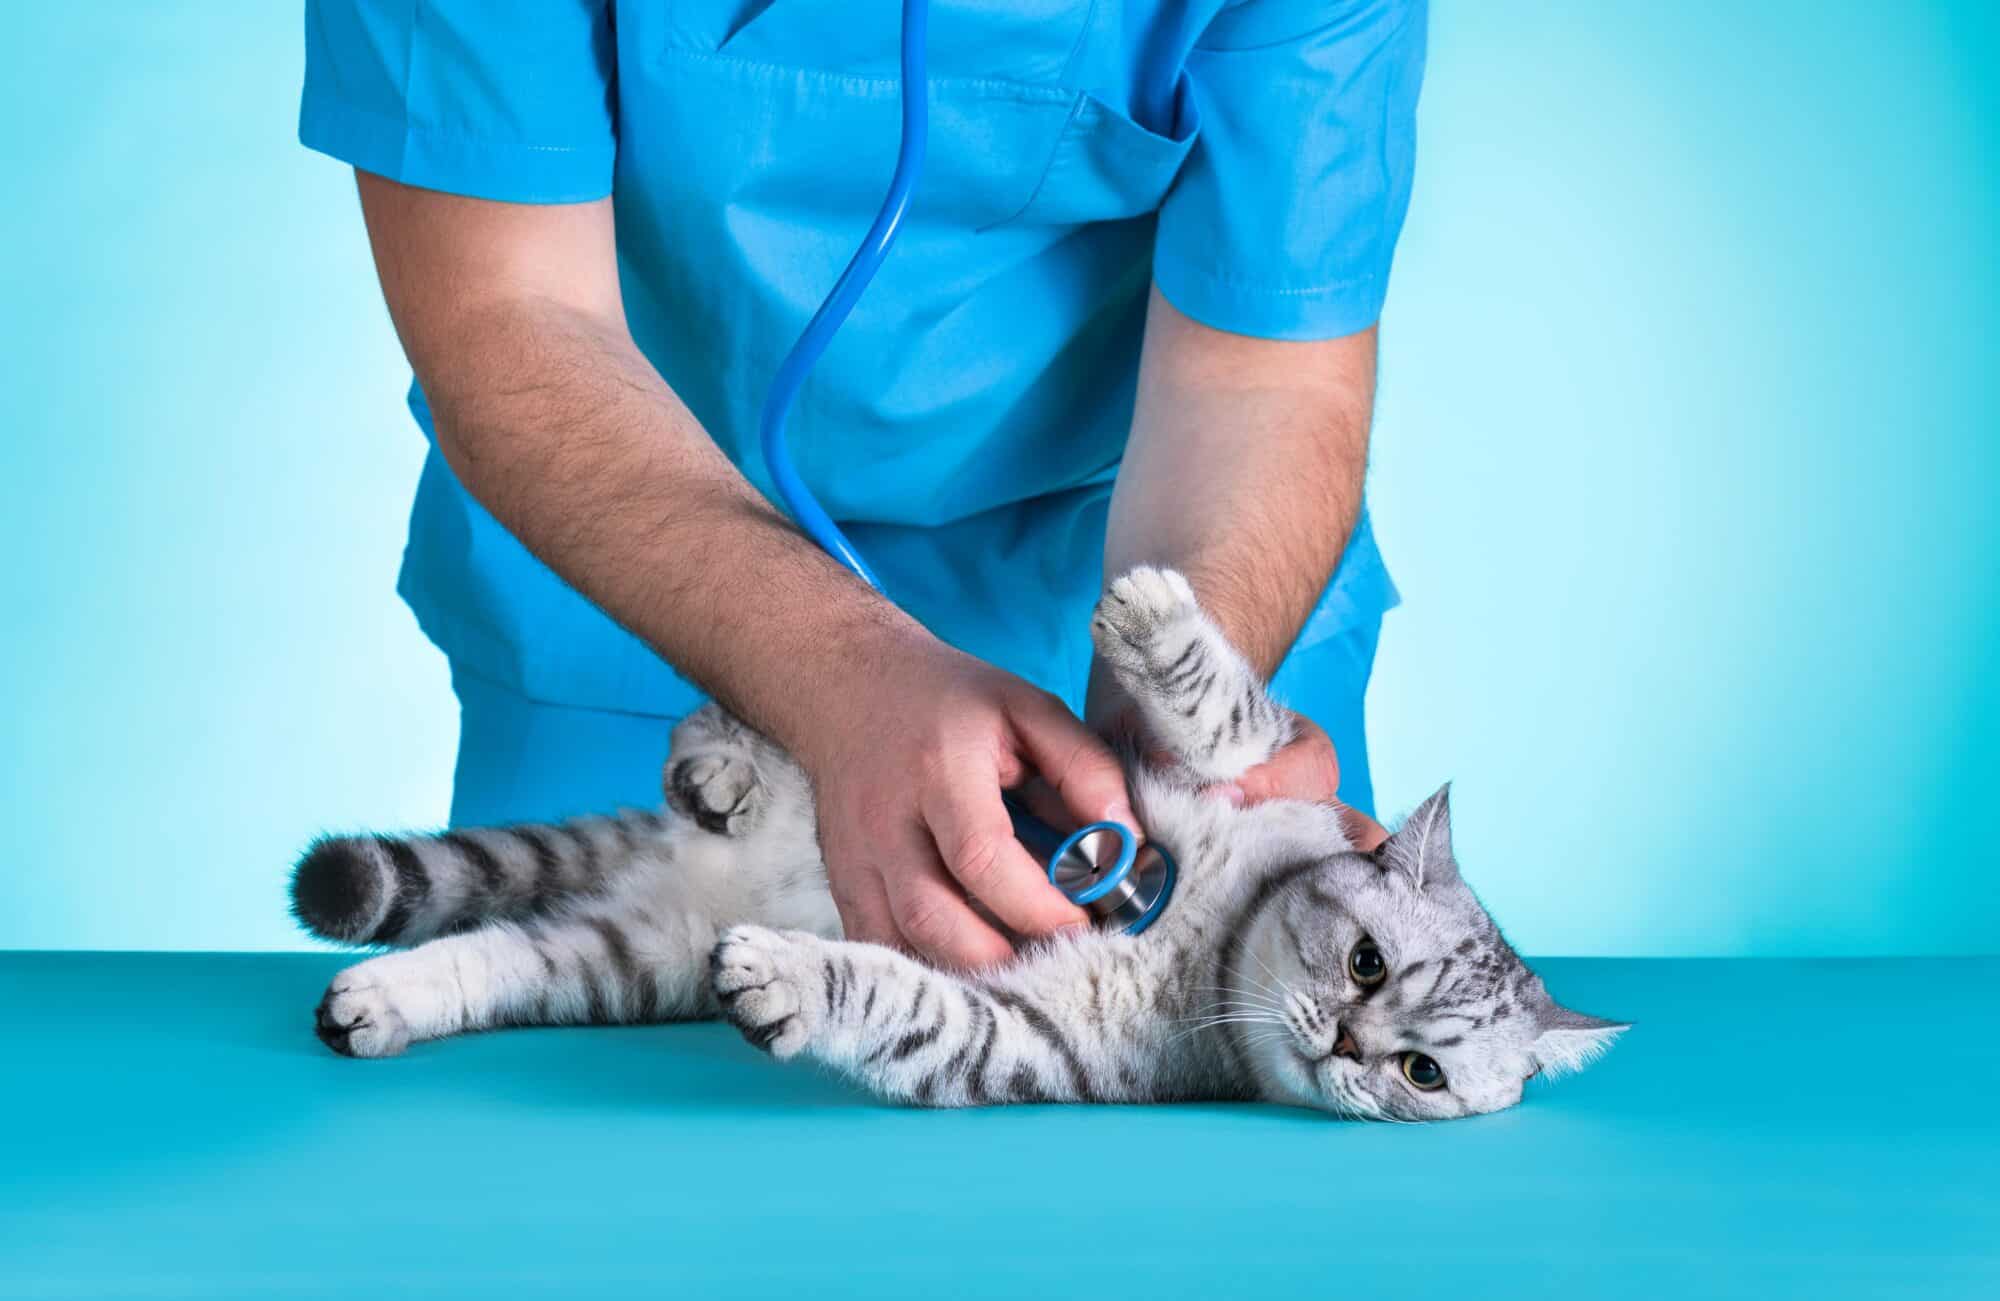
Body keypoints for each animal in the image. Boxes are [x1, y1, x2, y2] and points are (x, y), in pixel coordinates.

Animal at [292, 568, 1624, 1112]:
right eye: (1363, 962)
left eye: (1423, 1072)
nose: (1349, 1042)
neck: (1217, 934)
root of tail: (695, 860)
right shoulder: (1197, 779)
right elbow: (1231, 714)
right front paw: (1158, 619)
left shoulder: (1023, 1041)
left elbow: (901, 1001)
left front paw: (785, 977)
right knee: (744, 730)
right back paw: (717, 760)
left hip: (623, 957)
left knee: (499, 954)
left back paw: (381, 1000)